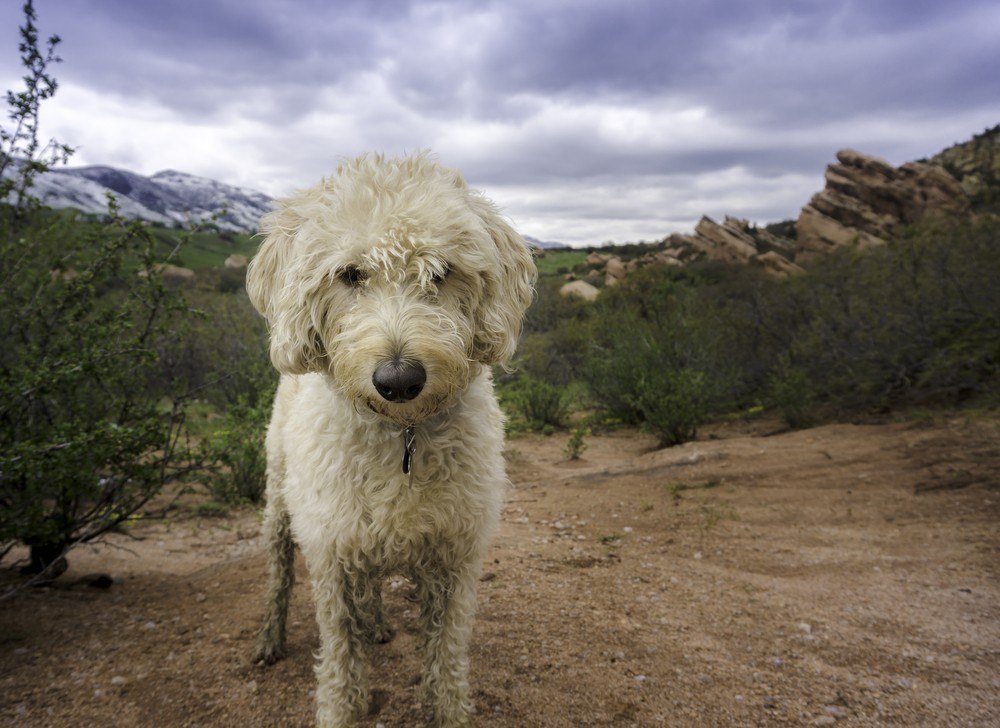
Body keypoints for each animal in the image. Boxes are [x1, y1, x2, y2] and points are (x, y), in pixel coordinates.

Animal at [245, 151, 536, 724]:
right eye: (350, 274)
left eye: (441, 273)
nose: (399, 380)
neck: (401, 436)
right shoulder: (331, 550)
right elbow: (339, 655)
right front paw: (341, 709)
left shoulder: (454, 558)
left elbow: (446, 656)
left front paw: (449, 711)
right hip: (280, 503)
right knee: (279, 573)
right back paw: (270, 636)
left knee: (372, 585)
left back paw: (377, 622)